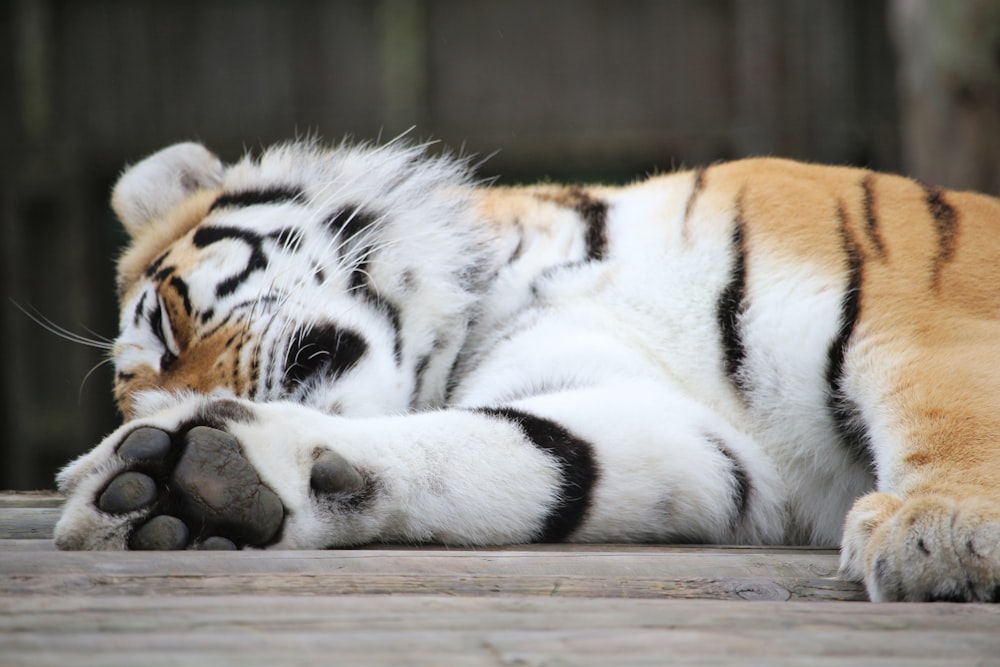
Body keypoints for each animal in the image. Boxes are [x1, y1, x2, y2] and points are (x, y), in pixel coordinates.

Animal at [52, 138, 1000, 604]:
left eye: (165, 329)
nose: (198, 400)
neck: (493, 301)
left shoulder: (906, 313)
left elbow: (951, 408)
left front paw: (943, 528)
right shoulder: (694, 440)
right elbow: (524, 450)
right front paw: (196, 481)